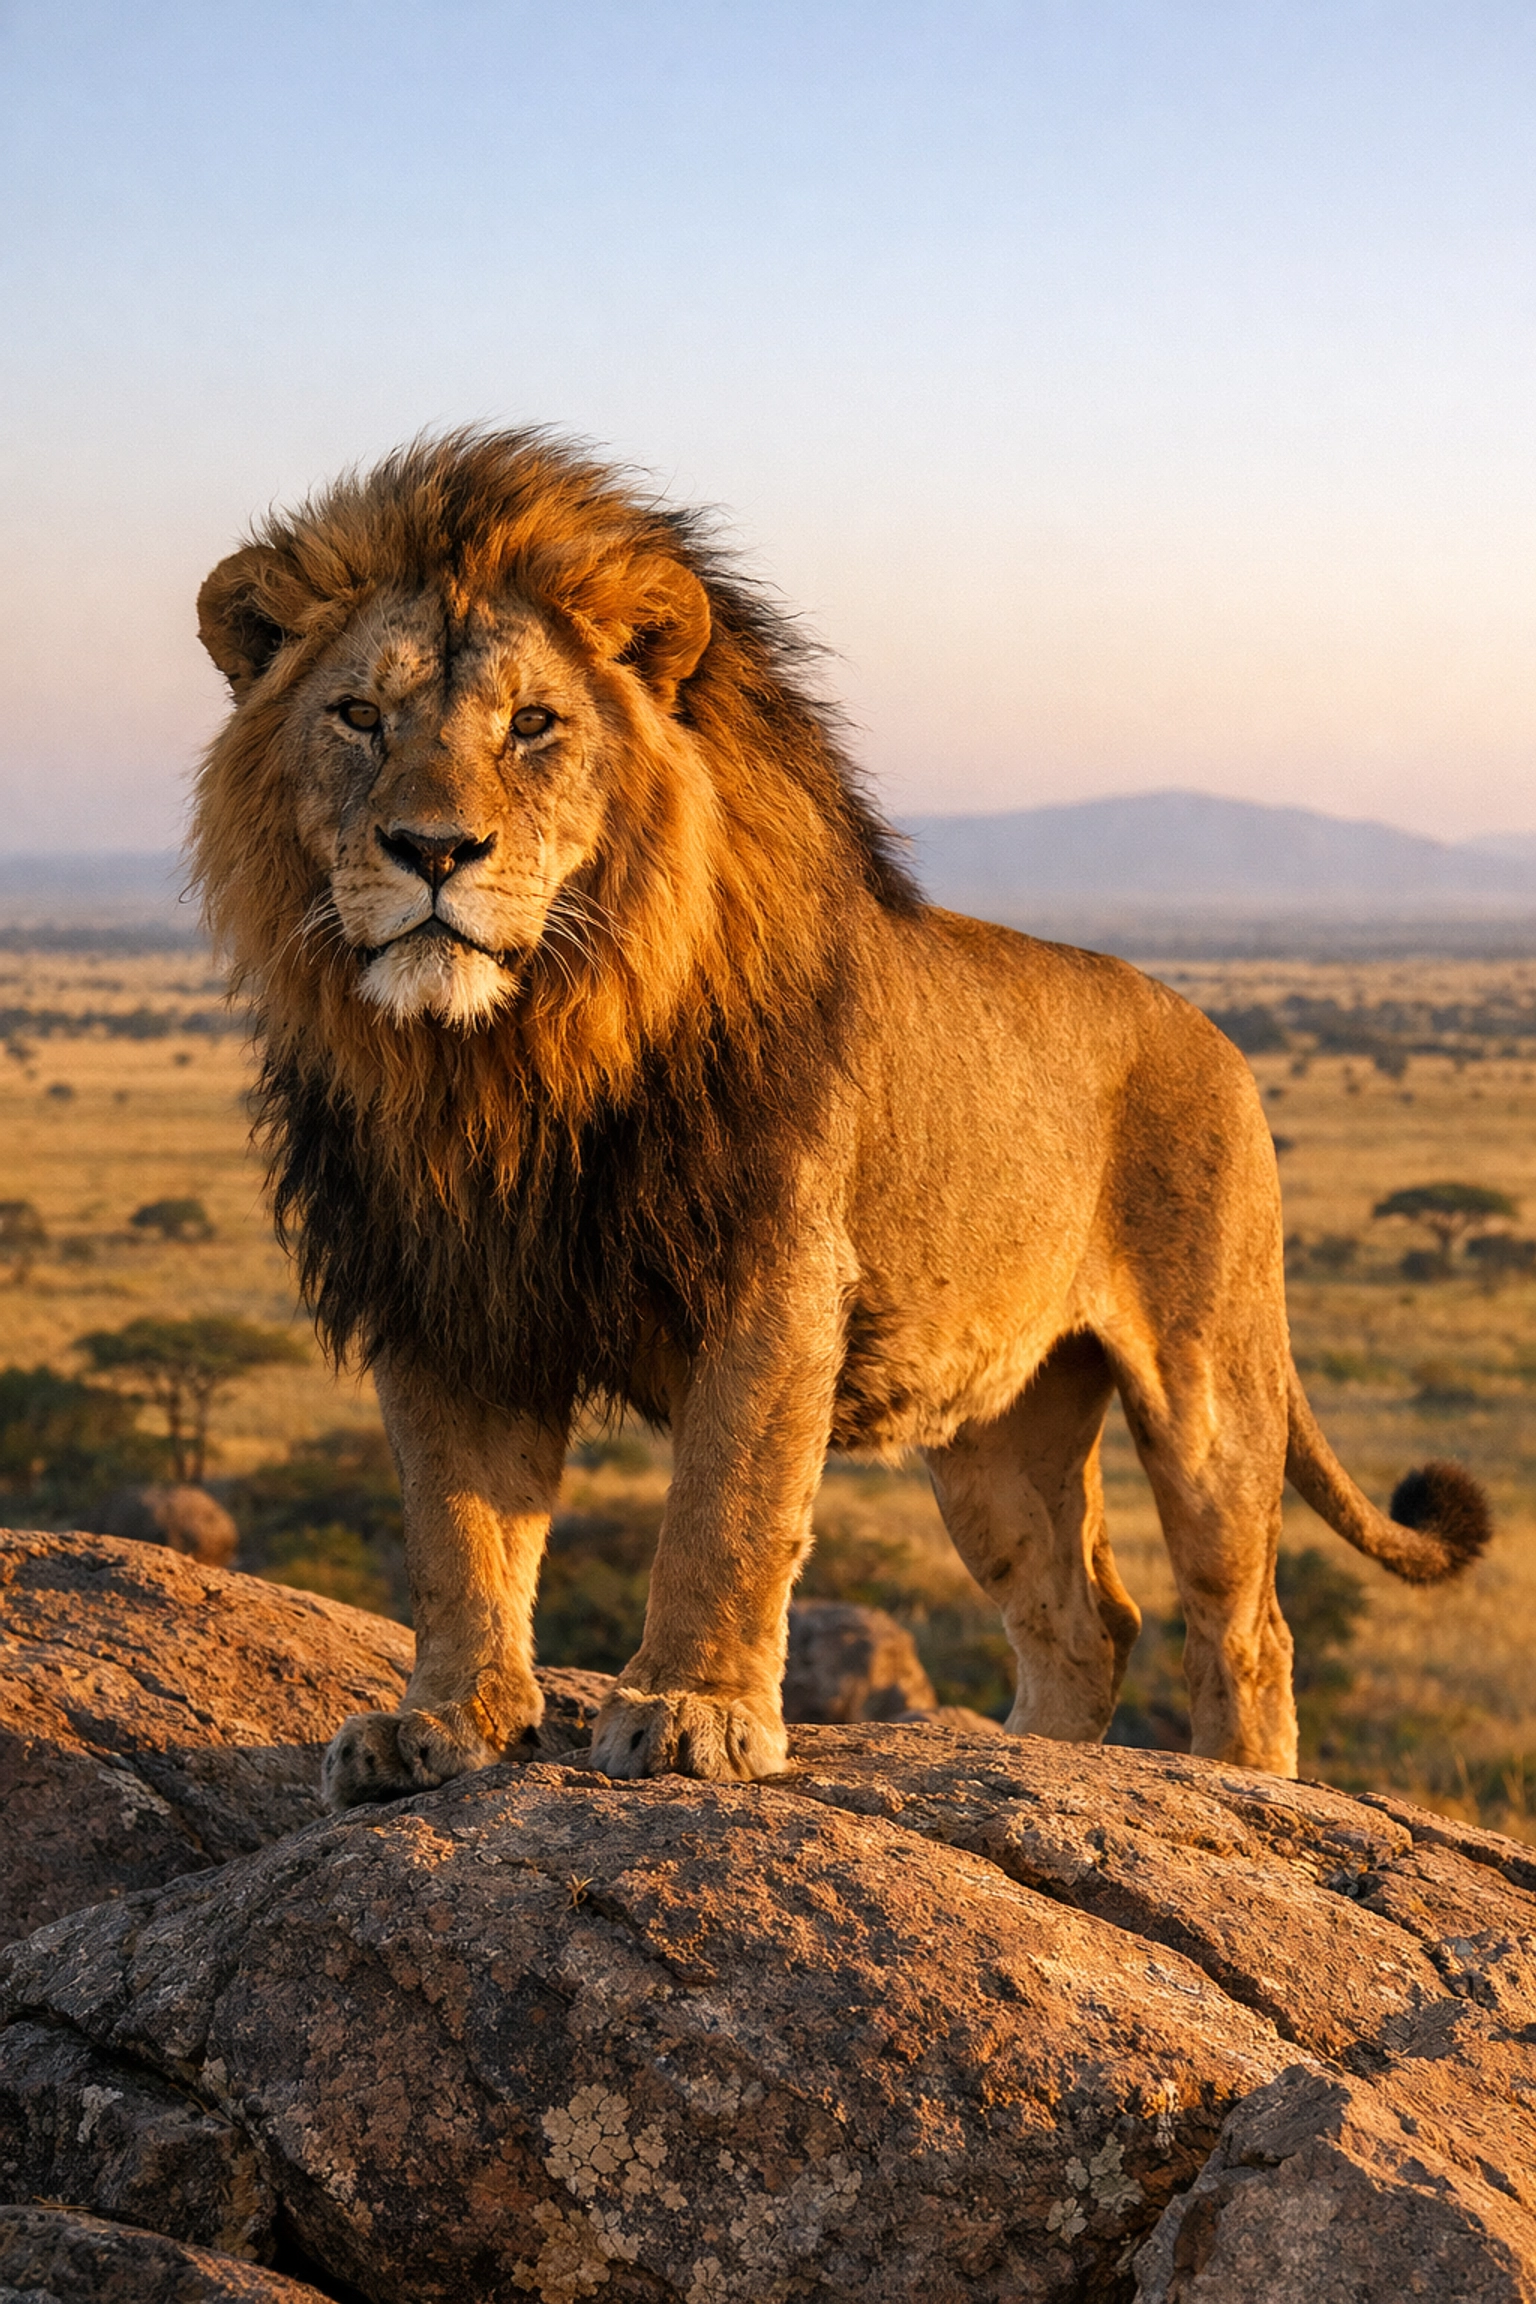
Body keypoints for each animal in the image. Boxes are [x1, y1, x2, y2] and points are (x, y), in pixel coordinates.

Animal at [192, 428, 1488, 1800]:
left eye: (533, 724)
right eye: (359, 717)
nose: (433, 850)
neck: (509, 1059)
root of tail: (1218, 1036)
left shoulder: (774, 1271)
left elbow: (726, 1507)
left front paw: (693, 1710)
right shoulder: (443, 1291)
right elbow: (455, 1533)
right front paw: (445, 1723)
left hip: (1209, 1383)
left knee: (1244, 1625)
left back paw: (1238, 1783)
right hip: (997, 1431)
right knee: (1084, 1620)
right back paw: (1025, 1762)